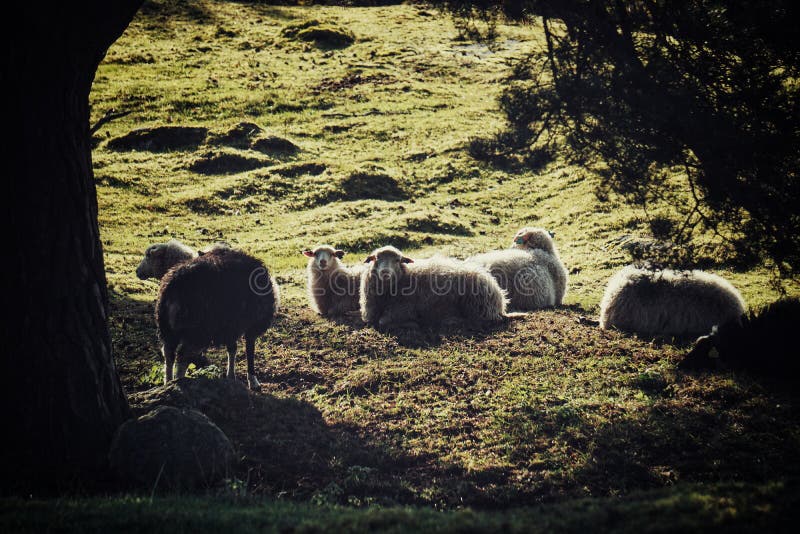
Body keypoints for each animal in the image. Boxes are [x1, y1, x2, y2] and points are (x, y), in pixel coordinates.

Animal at [156, 246, 279, 391]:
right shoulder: (251, 325)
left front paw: (231, 376)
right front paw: (253, 381)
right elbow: (250, 351)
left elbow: (232, 349)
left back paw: (168, 382)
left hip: (167, 328)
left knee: (168, 354)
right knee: (182, 356)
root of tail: (174, 286)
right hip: (196, 331)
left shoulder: (232, 326)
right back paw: (179, 382)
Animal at [359, 246, 508, 330]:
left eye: (397, 260)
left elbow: (382, 321)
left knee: (476, 321)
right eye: (376, 258)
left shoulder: (403, 309)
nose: (385, 272)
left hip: (475, 305)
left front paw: (412, 324)